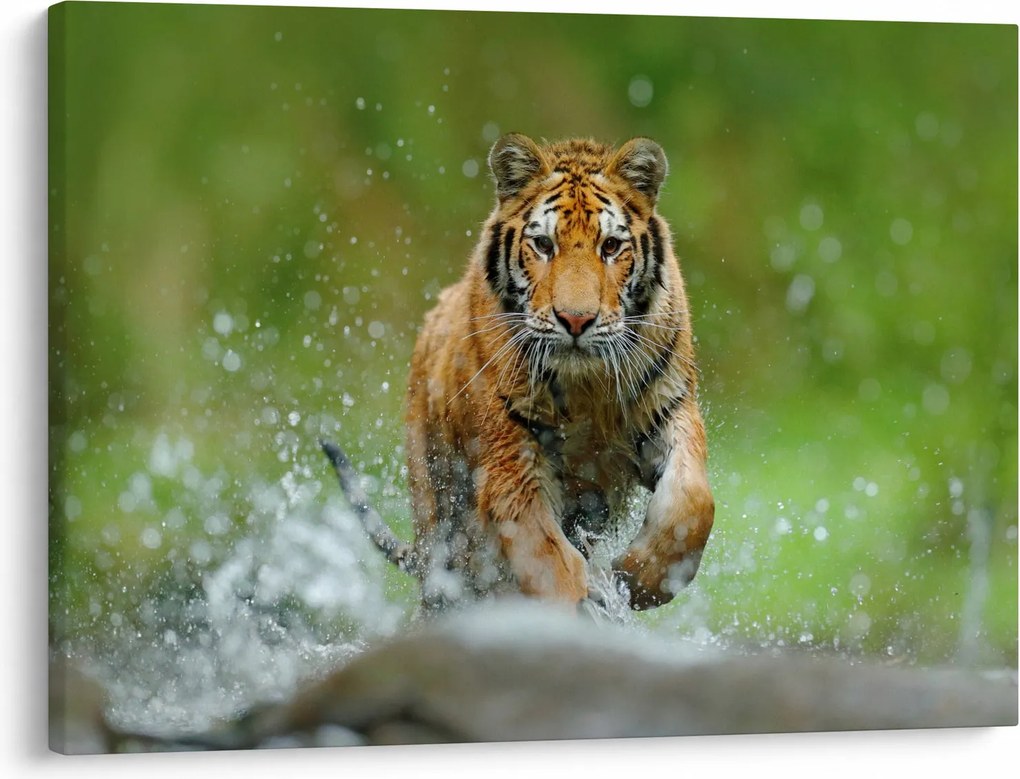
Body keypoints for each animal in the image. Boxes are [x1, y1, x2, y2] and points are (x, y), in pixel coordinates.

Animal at [327, 133, 714, 613]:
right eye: (544, 245)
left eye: (610, 247)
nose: (575, 320)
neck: (586, 387)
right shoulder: (511, 461)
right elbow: (546, 559)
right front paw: (582, 606)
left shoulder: (669, 409)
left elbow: (693, 503)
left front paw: (636, 578)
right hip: (439, 519)